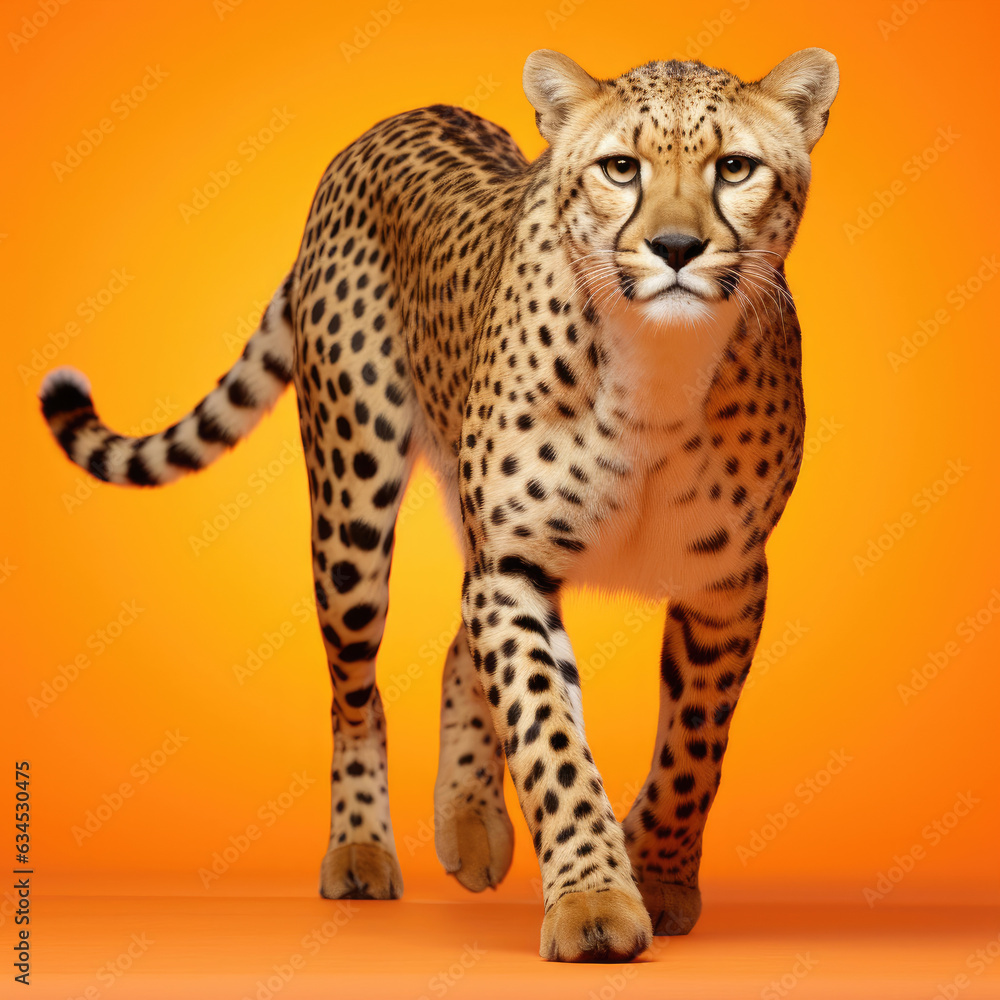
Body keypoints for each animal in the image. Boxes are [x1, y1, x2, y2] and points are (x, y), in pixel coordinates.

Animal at [40, 47, 838, 962]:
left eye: (735, 168)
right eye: (621, 168)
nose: (676, 247)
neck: (658, 367)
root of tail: (400, 119)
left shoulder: (726, 582)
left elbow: (694, 744)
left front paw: (660, 873)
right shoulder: (513, 567)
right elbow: (547, 733)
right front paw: (594, 901)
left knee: (458, 646)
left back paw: (470, 820)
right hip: (352, 512)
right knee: (355, 692)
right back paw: (360, 848)